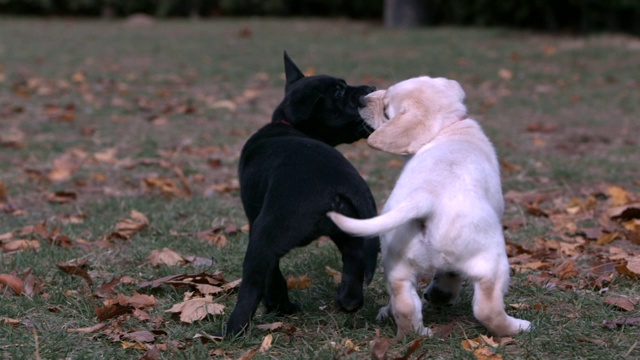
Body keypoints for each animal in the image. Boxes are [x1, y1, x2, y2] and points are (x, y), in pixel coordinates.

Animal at [222, 52, 378, 336]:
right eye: (339, 91)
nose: (371, 88)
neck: (287, 124)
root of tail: (343, 183)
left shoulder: (254, 219)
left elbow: (273, 276)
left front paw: (278, 306)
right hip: (349, 229)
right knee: (355, 257)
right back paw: (348, 301)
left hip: (265, 235)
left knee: (252, 285)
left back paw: (232, 330)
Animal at [328, 76, 532, 338]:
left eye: (386, 111)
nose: (362, 100)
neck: (446, 128)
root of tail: (426, 197)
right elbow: (451, 274)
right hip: (492, 261)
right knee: (487, 309)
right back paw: (519, 327)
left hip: (398, 264)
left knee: (405, 304)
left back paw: (417, 332)